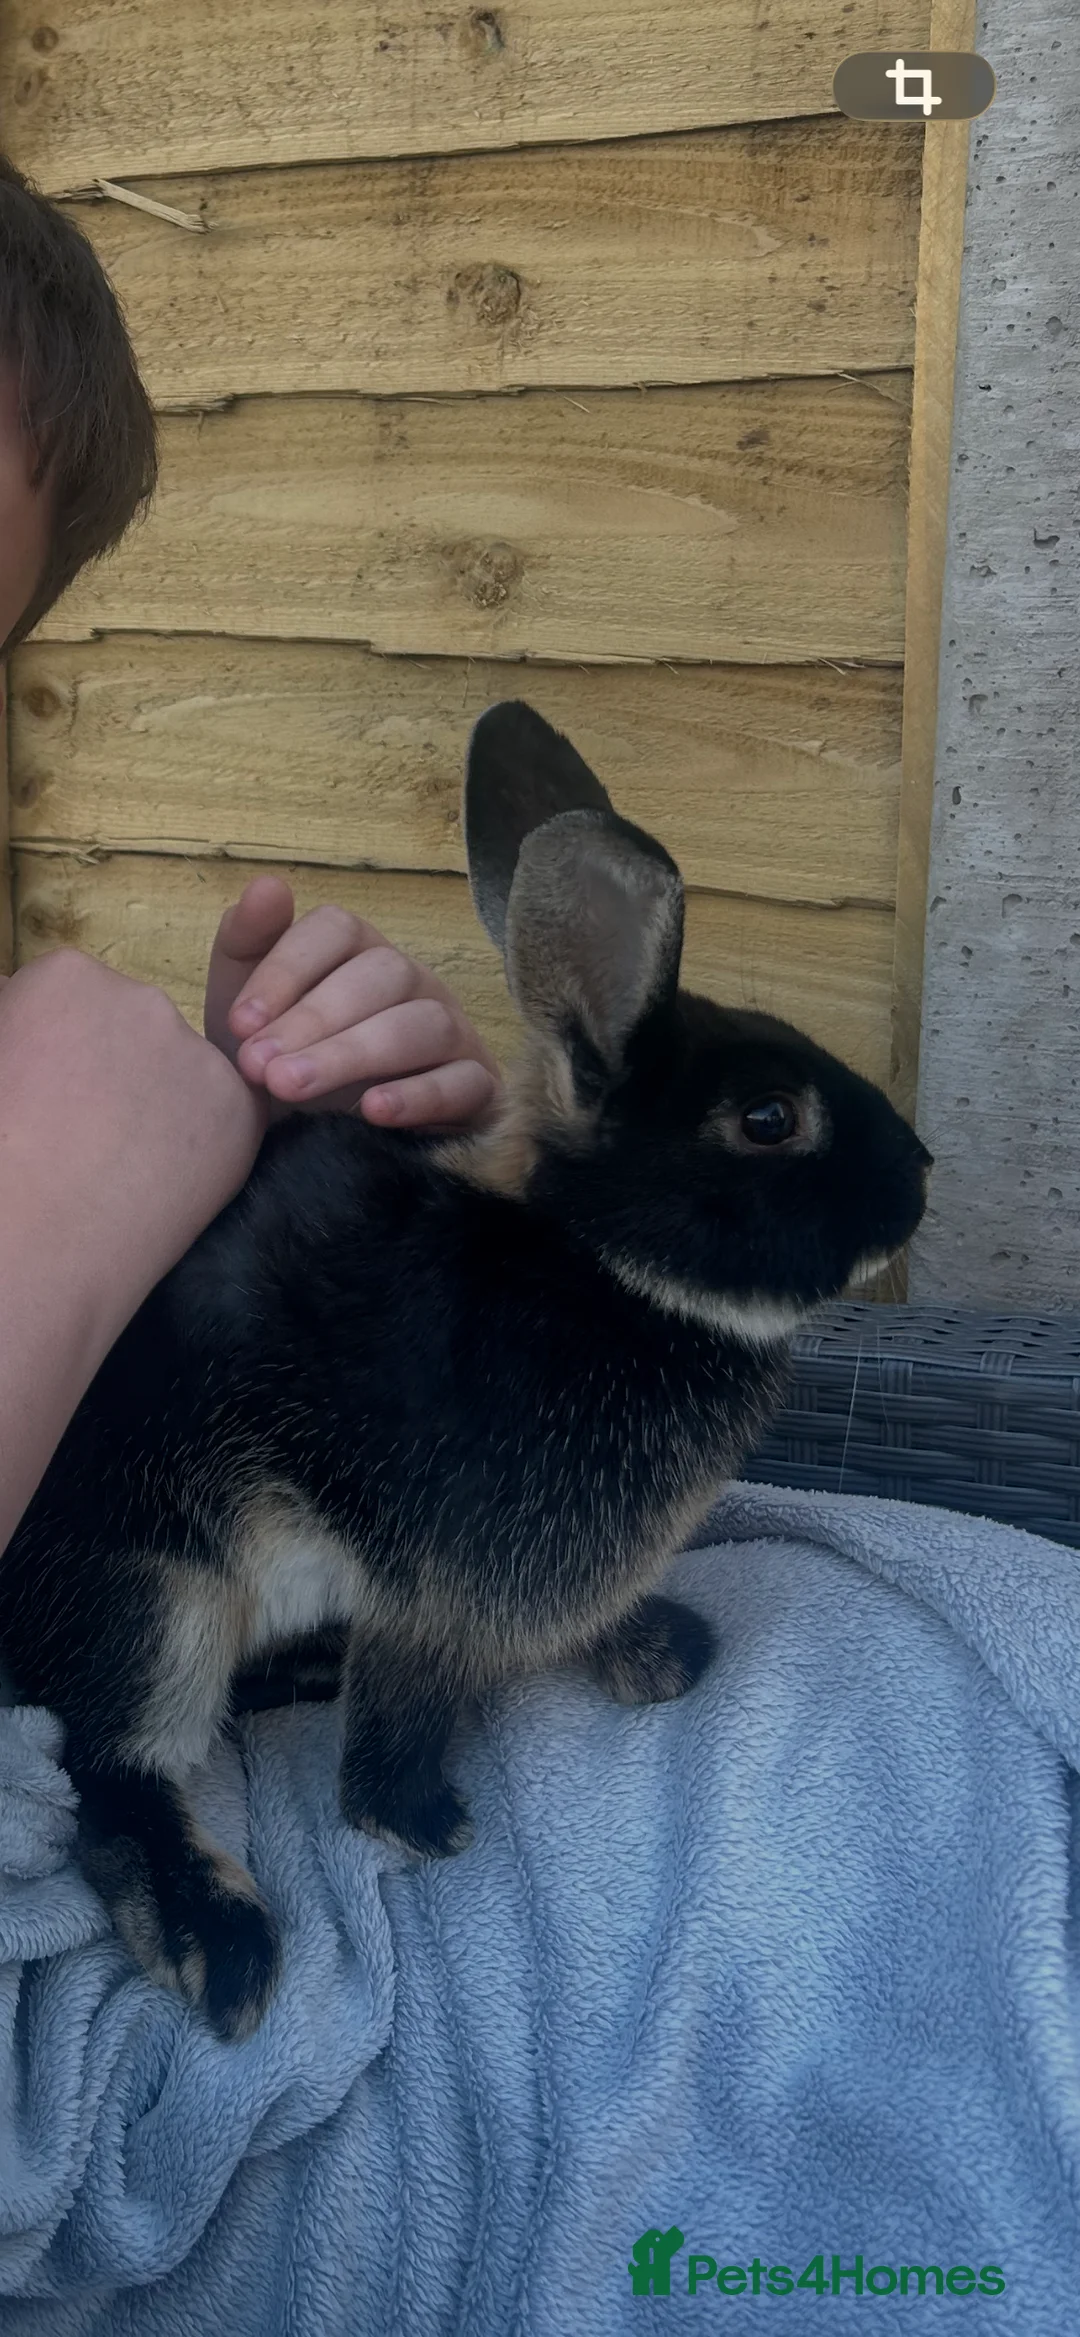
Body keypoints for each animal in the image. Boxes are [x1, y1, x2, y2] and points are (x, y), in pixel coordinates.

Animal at [0, 701, 931, 2042]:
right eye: (769, 1120)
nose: (919, 1182)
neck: (602, 1266)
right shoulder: (448, 1582)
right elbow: (406, 1704)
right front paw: (415, 1821)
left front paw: (655, 1653)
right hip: (154, 1593)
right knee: (111, 1774)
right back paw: (220, 1942)